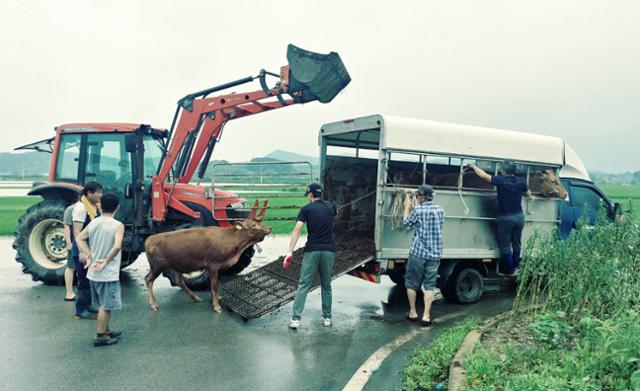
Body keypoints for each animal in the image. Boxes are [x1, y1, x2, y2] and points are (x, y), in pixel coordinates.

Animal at [144, 219, 272, 314]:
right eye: (254, 224)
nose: (270, 228)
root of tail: (150, 238)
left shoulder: (218, 268)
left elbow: (215, 285)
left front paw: (217, 298)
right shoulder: (213, 266)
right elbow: (214, 285)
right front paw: (216, 306)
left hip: (174, 266)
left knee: (179, 281)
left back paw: (195, 298)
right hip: (157, 267)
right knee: (148, 279)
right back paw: (154, 304)